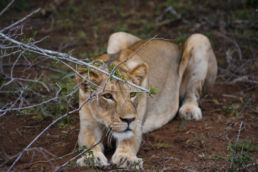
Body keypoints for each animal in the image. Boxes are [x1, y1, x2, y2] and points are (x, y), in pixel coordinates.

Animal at [75, 31, 218, 169]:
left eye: (132, 94)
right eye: (108, 96)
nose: (128, 120)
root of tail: (174, 43)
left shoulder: (137, 124)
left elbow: (129, 141)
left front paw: (126, 159)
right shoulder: (88, 125)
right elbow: (88, 142)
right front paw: (91, 157)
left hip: (200, 39)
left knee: (193, 92)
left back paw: (189, 111)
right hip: (116, 35)